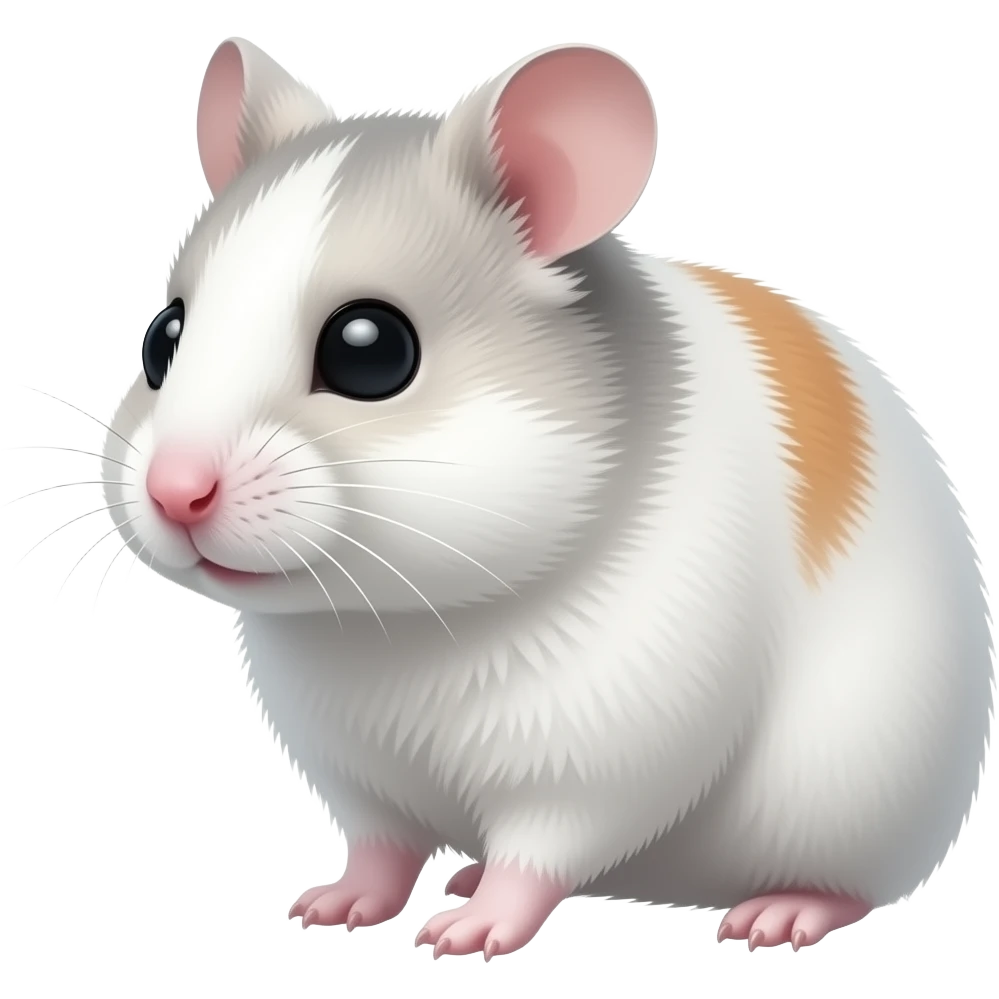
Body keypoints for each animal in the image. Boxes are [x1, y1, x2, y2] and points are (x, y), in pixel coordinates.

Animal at [96, 37, 995, 960]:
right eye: (162, 337)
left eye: (370, 350)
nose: (175, 494)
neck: (401, 620)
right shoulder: (355, 772)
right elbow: (381, 848)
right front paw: (328, 908)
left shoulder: (596, 755)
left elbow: (537, 853)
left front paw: (461, 936)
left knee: (846, 884)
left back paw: (773, 918)